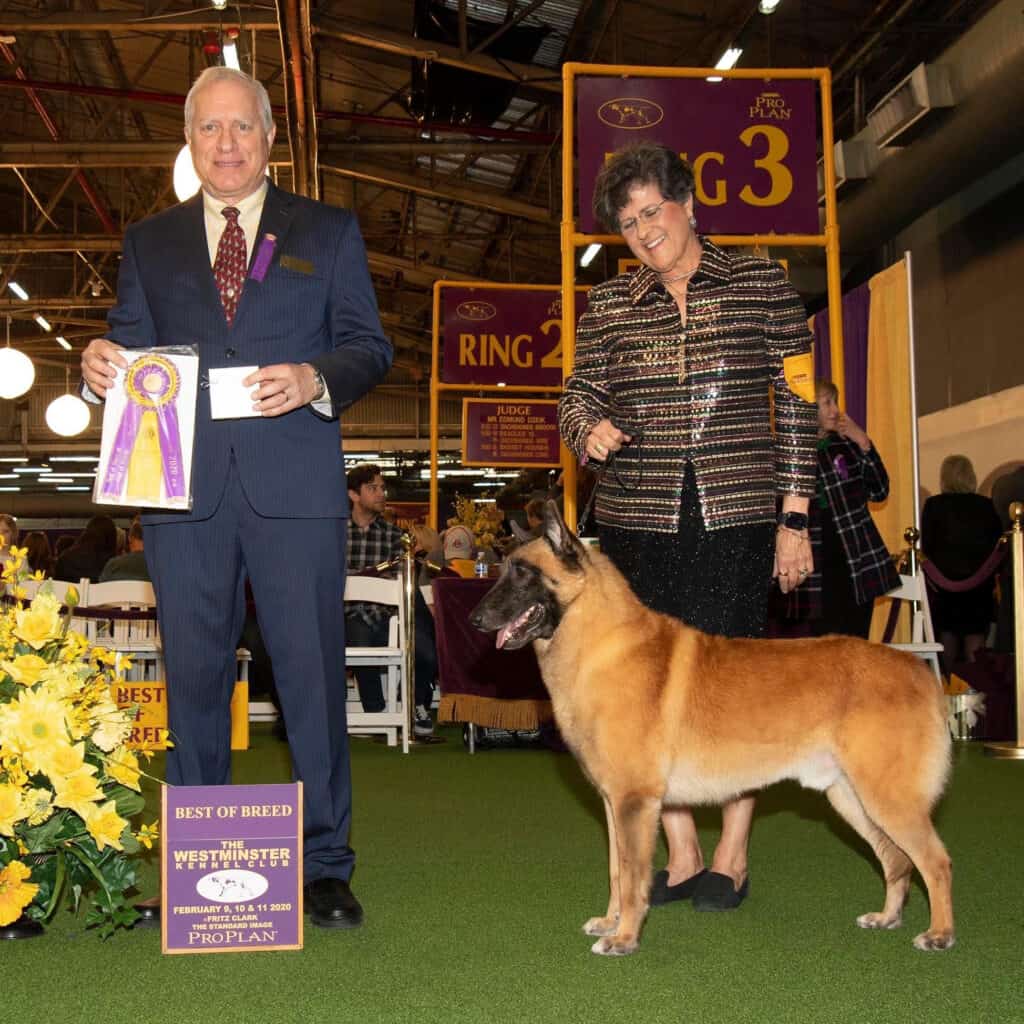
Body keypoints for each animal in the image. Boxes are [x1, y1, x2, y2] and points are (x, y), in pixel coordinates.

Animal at [468, 499, 950, 954]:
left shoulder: (634, 803)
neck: (600, 642)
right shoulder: (613, 804)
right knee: (897, 861)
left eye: (523, 574)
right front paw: (610, 922)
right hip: (852, 798)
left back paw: (939, 934)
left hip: (887, 798)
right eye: (504, 570)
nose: (474, 619)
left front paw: (624, 938)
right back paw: (887, 917)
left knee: (936, 861)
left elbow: (632, 875)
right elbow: (616, 871)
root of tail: (917, 670)